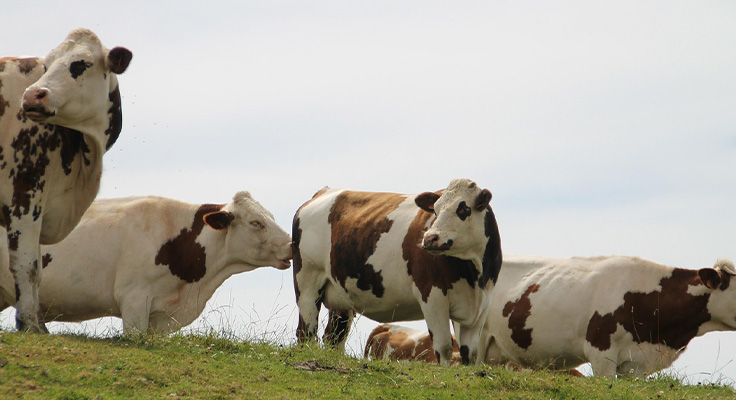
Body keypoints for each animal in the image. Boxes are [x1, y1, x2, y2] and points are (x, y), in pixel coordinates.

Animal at [0, 28, 132, 332]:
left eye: (81, 64)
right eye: (46, 66)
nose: (33, 95)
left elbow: (37, 269)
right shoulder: (23, 194)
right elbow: (26, 265)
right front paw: (29, 324)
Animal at [292, 178, 502, 365]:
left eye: (463, 209)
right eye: (435, 209)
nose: (430, 238)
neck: (474, 273)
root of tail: (324, 192)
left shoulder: (482, 303)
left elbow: (470, 353)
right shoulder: (432, 296)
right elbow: (444, 347)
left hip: (341, 299)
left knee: (334, 338)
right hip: (307, 284)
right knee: (306, 331)